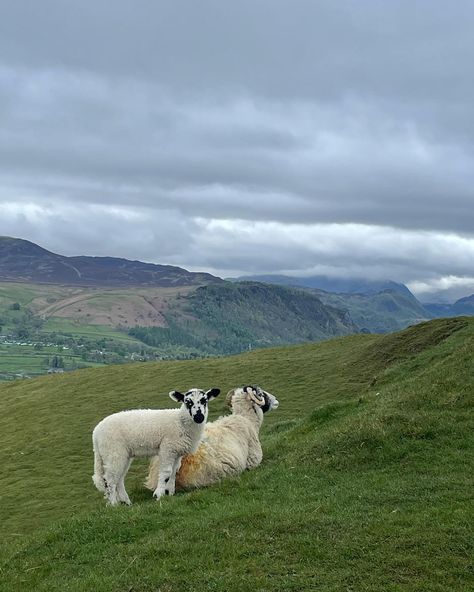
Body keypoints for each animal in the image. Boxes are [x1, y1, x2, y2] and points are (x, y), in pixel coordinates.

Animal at [92, 386, 220, 506]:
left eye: (204, 401)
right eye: (187, 402)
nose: (199, 417)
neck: (180, 421)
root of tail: (96, 433)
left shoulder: (177, 451)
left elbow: (174, 472)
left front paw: (170, 492)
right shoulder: (167, 447)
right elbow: (166, 471)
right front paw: (159, 494)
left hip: (123, 455)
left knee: (119, 478)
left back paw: (126, 502)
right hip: (113, 452)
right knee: (110, 479)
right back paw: (114, 504)